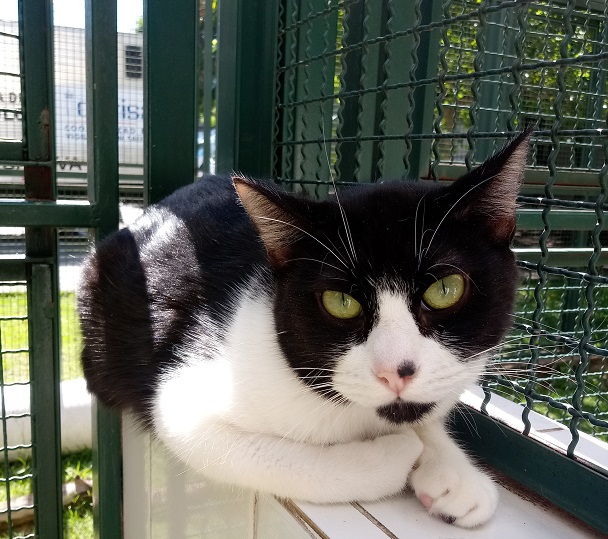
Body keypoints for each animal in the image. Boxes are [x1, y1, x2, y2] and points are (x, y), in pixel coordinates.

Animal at [78, 131, 528, 528]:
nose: (395, 371)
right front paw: (396, 454)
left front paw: (454, 471)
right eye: (340, 302)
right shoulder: (184, 403)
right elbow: (273, 460)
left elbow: (427, 411)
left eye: (444, 290)